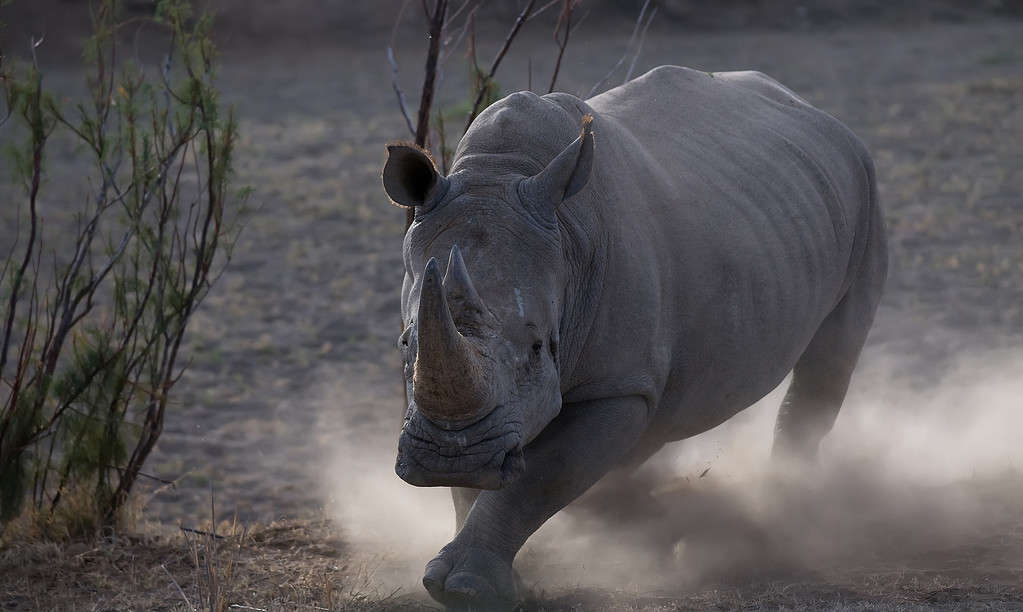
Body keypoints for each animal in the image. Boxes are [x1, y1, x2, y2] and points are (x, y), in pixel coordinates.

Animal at [381, 65, 887, 609]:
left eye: (540, 347)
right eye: (406, 344)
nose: (449, 458)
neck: (500, 174)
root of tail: (818, 113)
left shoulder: (615, 384)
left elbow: (541, 478)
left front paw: (469, 588)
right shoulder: (490, 412)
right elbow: (480, 484)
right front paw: (471, 580)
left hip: (867, 188)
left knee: (832, 353)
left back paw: (786, 513)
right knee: (664, 413)